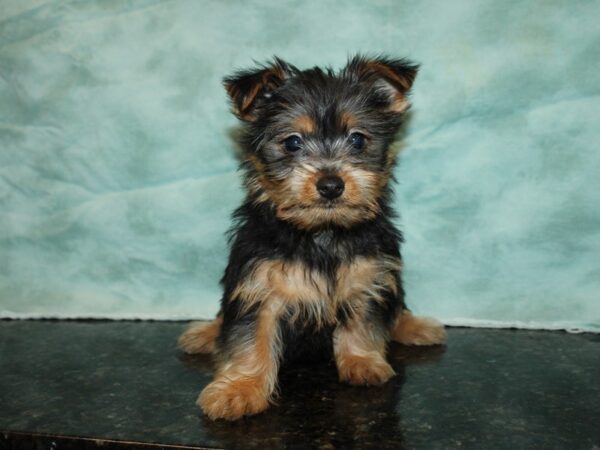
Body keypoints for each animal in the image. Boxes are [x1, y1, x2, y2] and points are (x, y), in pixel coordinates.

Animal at [178, 54, 446, 420]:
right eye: (292, 142)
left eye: (358, 139)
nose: (331, 185)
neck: (322, 231)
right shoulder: (257, 284)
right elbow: (249, 337)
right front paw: (239, 389)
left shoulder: (369, 274)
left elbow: (364, 317)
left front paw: (362, 361)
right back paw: (206, 333)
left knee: (396, 304)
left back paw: (414, 326)